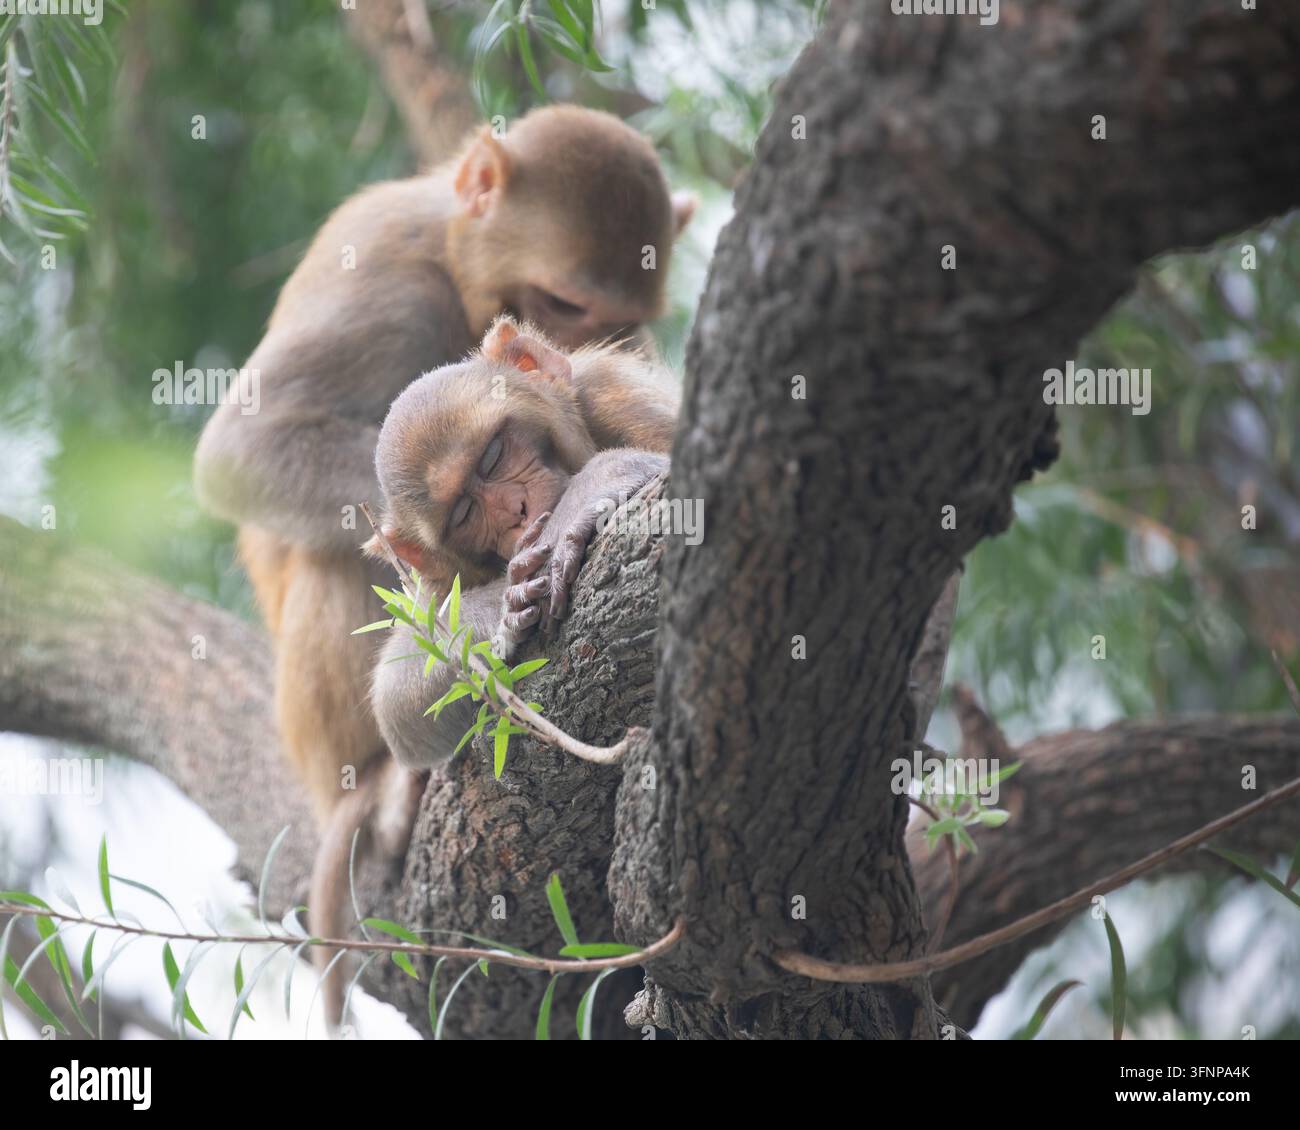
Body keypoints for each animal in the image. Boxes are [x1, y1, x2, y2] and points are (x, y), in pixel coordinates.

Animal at [192, 105, 694, 827]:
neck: (457, 259)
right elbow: (244, 444)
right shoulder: (384, 262)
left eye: (625, 318)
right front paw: (486, 608)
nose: (518, 510)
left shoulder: (611, 388)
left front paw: (584, 494)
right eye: (565, 303)